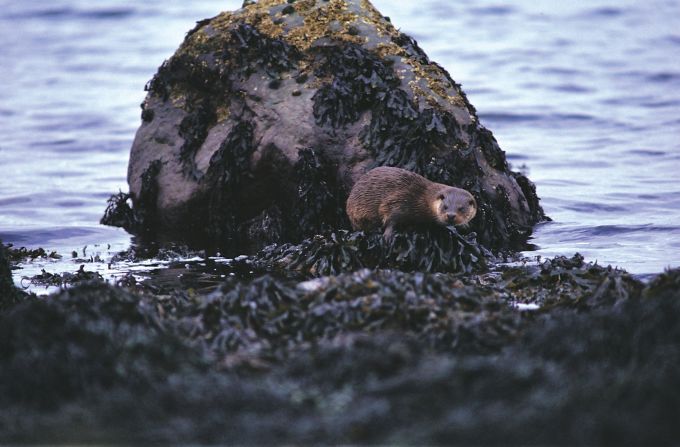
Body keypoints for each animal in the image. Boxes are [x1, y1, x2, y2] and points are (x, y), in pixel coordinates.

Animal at [346, 167, 478, 238]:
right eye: (445, 207)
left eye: (461, 208)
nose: (450, 215)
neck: (423, 199)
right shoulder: (400, 199)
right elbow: (390, 215)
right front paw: (388, 234)